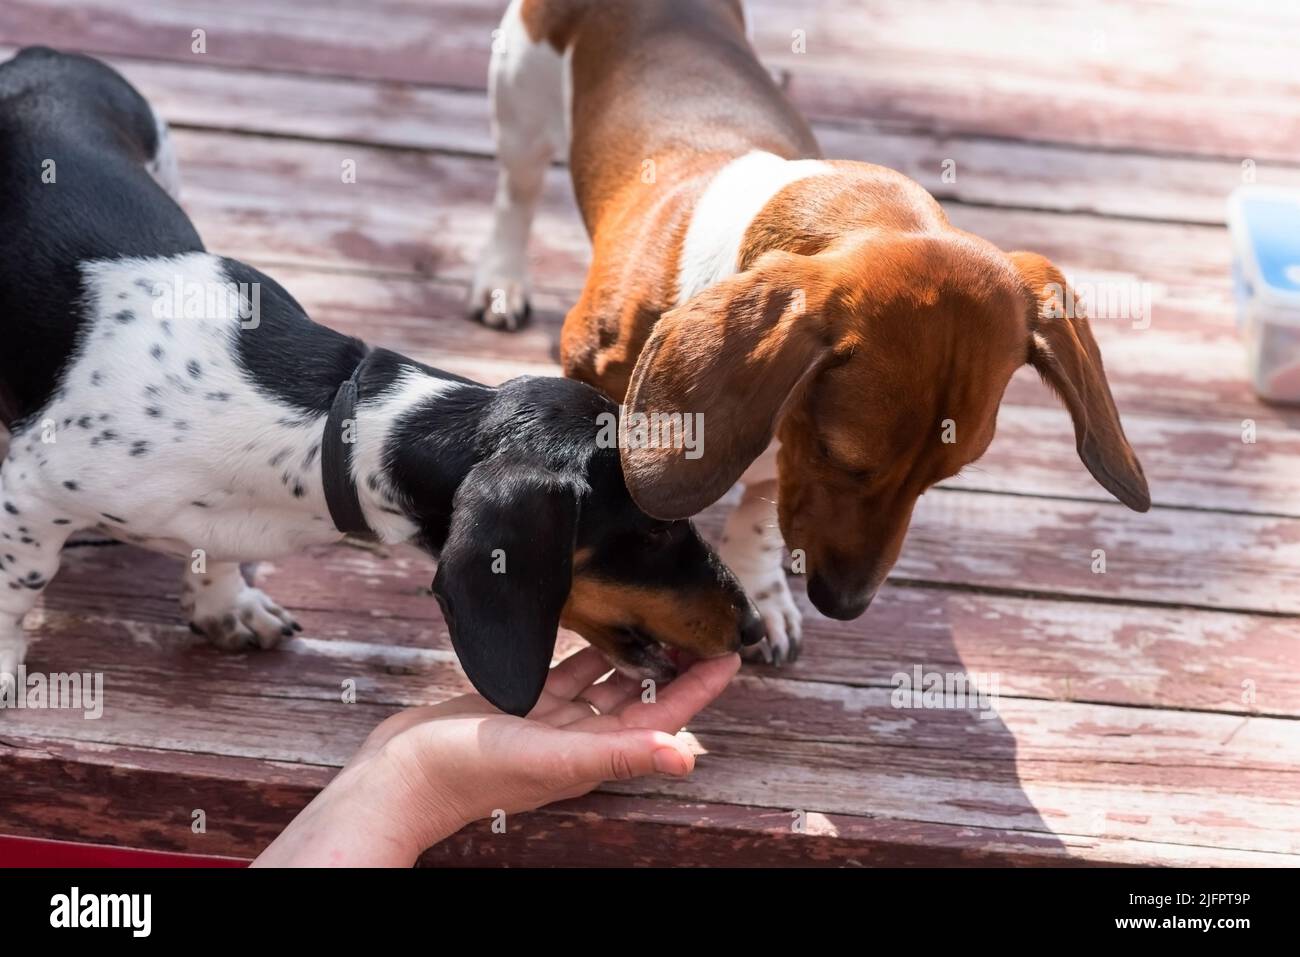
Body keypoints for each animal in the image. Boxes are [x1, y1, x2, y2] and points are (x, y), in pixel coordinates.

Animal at [0, 46, 759, 717]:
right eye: (654, 533)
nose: (752, 630)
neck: (328, 422)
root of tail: (41, 56)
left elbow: (213, 555)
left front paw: (225, 605)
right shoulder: (32, 495)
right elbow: (21, 585)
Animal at [473, 0, 1154, 660]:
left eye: (944, 477)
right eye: (838, 455)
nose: (843, 604)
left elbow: (757, 510)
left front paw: (759, 590)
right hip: (520, 112)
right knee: (515, 195)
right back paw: (501, 281)